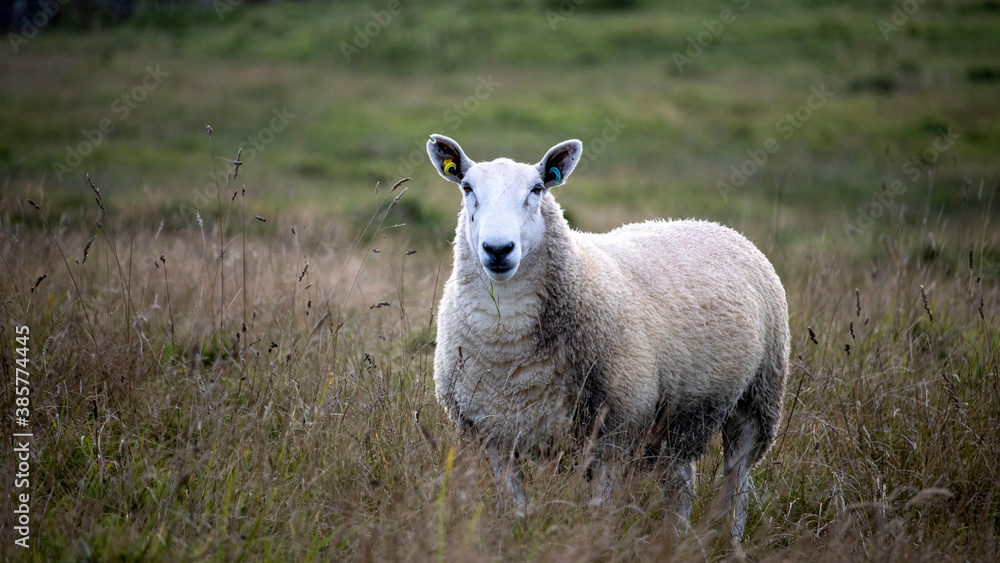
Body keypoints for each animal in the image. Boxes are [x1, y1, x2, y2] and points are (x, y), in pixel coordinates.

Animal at [426, 134, 789, 539]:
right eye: (467, 188)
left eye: (537, 189)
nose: (498, 249)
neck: (508, 346)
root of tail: (713, 225)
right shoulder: (494, 437)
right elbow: (514, 509)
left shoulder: (614, 431)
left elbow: (598, 512)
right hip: (680, 416)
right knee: (680, 480)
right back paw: (676, 538)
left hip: (759, 395)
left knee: (737, 478)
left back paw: (731, 539)